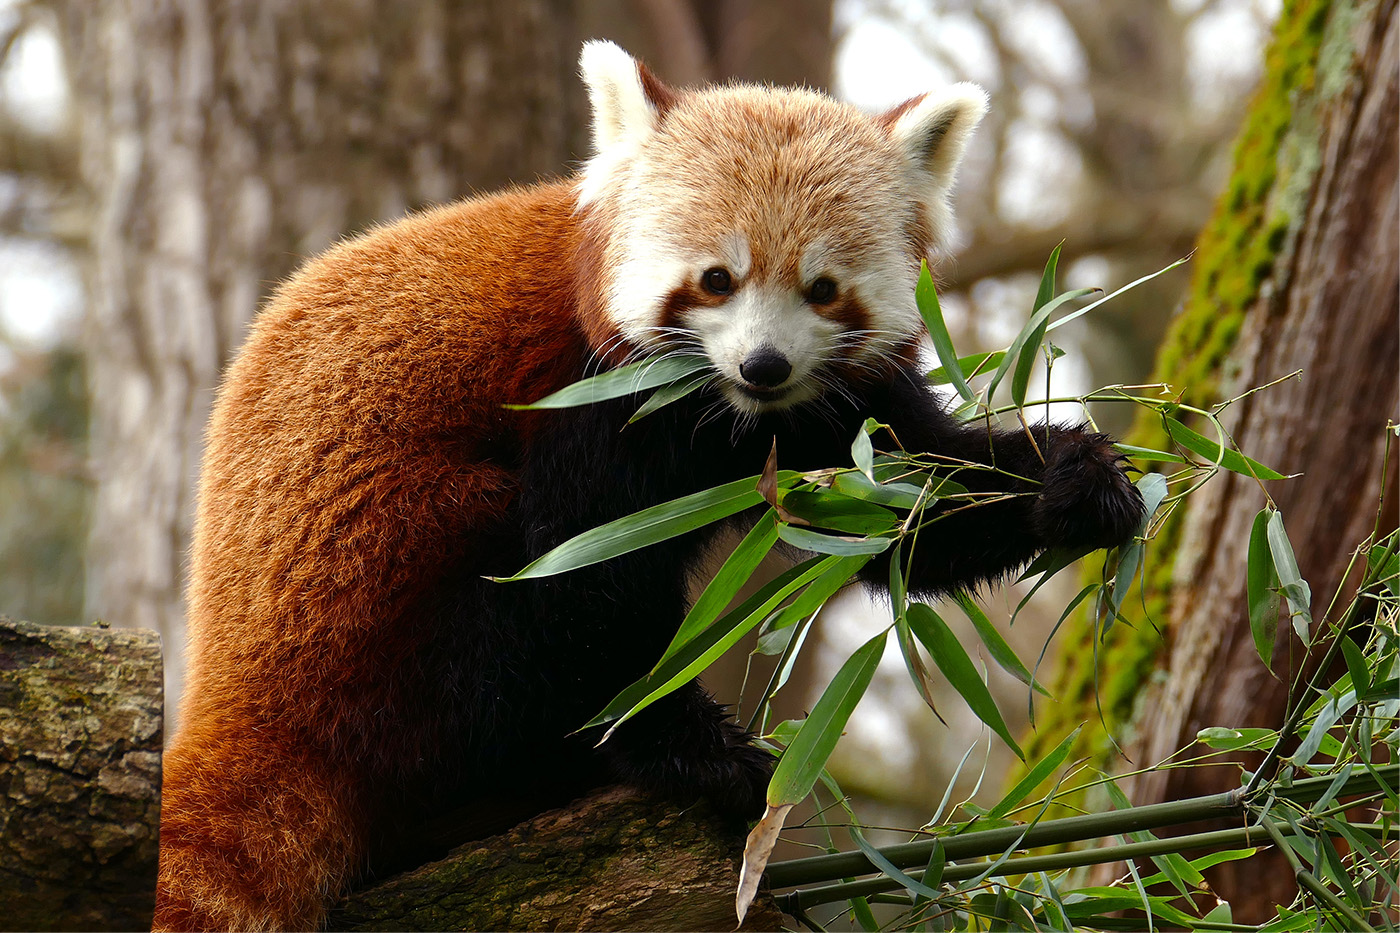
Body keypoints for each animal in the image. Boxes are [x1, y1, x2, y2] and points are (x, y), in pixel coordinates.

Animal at [153, 41, 1142, 930]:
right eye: (717, 279)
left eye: (823, 289)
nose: (764, 363)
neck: (727, 412)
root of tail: (236, 697)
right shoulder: (589, 396)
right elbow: (582, 580)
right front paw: (695, 747)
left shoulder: (835, 410)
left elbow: (908, 511)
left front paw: (1079, 480)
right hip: (384, 596)